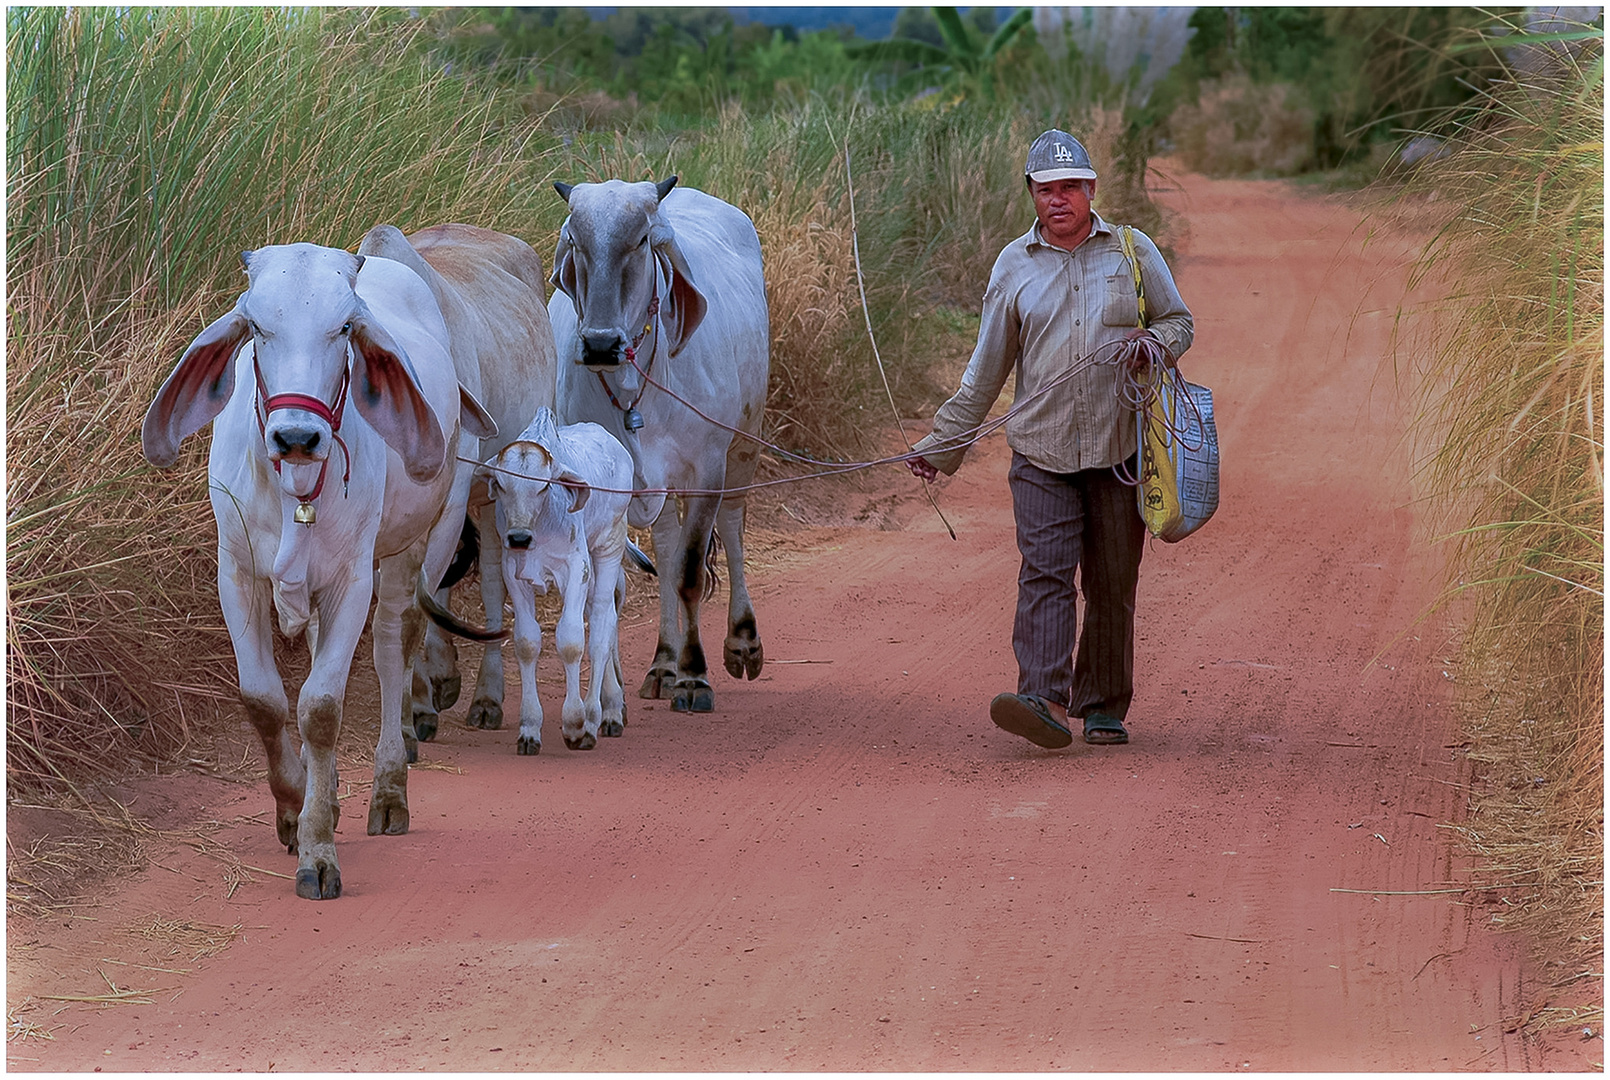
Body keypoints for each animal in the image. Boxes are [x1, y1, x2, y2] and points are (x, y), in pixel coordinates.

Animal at [144, 244, 495, 901]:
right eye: (257, 326)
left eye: (345, 329)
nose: (297, 436)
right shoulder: (237, 575)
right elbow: (264, 699)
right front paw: (294, 807)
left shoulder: (351, 581)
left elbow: (322, 707)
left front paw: (318, 852)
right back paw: (324, 792)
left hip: (424, 540)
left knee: (394, 644)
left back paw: (388, 788)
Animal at [355, 225, 557, 753]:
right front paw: (425, 689)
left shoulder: (457, 491)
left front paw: (419, 706)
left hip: (498, 493)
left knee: (490, 581)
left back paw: (486, 696)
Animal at [473, 405, 631, 753]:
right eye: (500, 484)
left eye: (544, 485)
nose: (519, 537)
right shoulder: (513, 572)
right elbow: (526, 642)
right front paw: (530, 728)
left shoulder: (576, 568)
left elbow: (572, 642)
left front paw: (575, 723)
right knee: (607, 621)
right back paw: (611, 705)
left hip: (608, 548)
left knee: (601, 628)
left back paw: (600, 714)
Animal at [550, 176, 769, 714]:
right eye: (575, 242)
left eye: (642, 240)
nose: (601, 344)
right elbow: (617, 586)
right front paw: (625, 687)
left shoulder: (707, 468)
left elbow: (690, 574)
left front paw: (695, 678)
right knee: (667, 550)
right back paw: (663, 664)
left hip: (743, 447)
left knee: (731, 529)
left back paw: (741, 643)